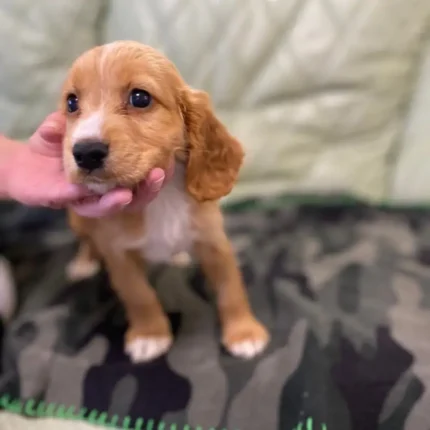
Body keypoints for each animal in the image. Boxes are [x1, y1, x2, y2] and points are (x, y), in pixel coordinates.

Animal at [60, 41, 268, 362]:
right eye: (71, 103)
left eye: (140, 98)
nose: (85, 152)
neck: (162, 199)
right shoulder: (119, 257)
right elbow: (139, 295)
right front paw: (150, 335)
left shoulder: (214, 243)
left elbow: (230, 289)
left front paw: (244, 333)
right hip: (79, 220)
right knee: (88, 241)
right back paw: (83, 263)